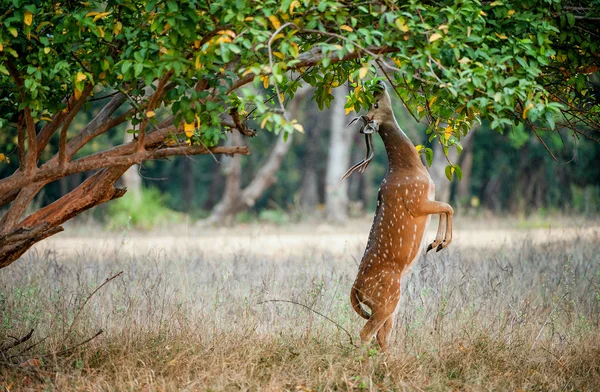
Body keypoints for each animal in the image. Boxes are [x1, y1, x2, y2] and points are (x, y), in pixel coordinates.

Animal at [342, 81, 454, 350]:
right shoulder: (416, 200)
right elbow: (448, 206)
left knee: (382, 337)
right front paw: (440, 243)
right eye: (375, 104)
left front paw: (435, 243)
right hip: (387, 299)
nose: (378, 84)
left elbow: (445, 207)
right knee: (366, 334)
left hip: (387, 305)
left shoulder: (427, 198)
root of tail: (356, 289)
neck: (410, 168)